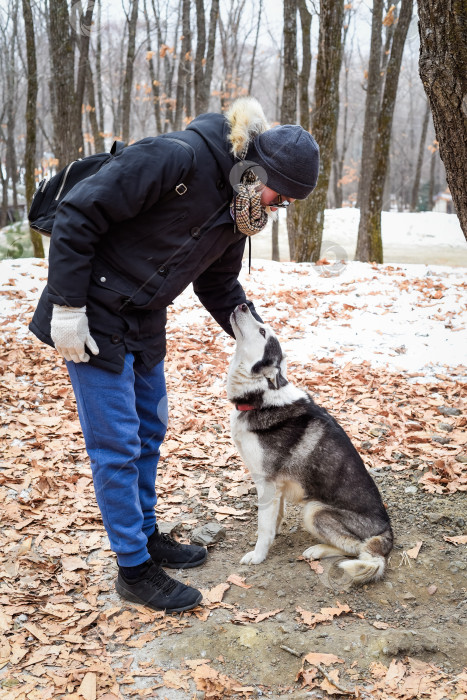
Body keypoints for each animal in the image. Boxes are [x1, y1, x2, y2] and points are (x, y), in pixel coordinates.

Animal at [229, 304, 394, 588]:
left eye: (262, 332)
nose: (244, 304)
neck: (261, 398)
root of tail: (387, 532)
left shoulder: (266, 482)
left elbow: (263, 527)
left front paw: (258, 555)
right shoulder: (276, 486)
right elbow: (274, 518)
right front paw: (274, 535)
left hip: (314, 510)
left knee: (355, 549)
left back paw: (317, 550)